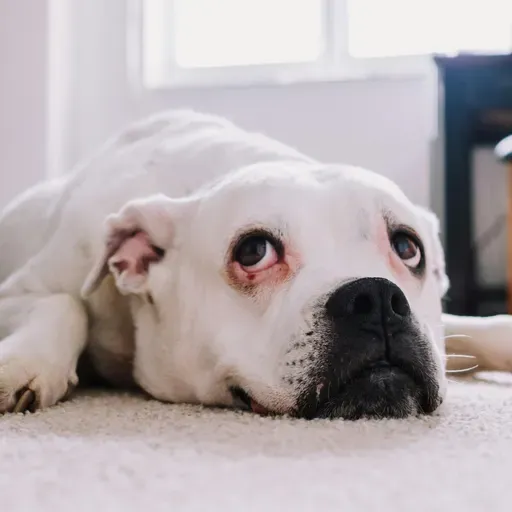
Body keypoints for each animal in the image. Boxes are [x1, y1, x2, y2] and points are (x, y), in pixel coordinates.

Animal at [0, 110, 510, 418]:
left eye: (407, 247)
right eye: (253, 252)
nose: (378, 297)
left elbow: (476, 330)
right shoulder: (20, 290)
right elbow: (64, 303)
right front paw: (23, 364)